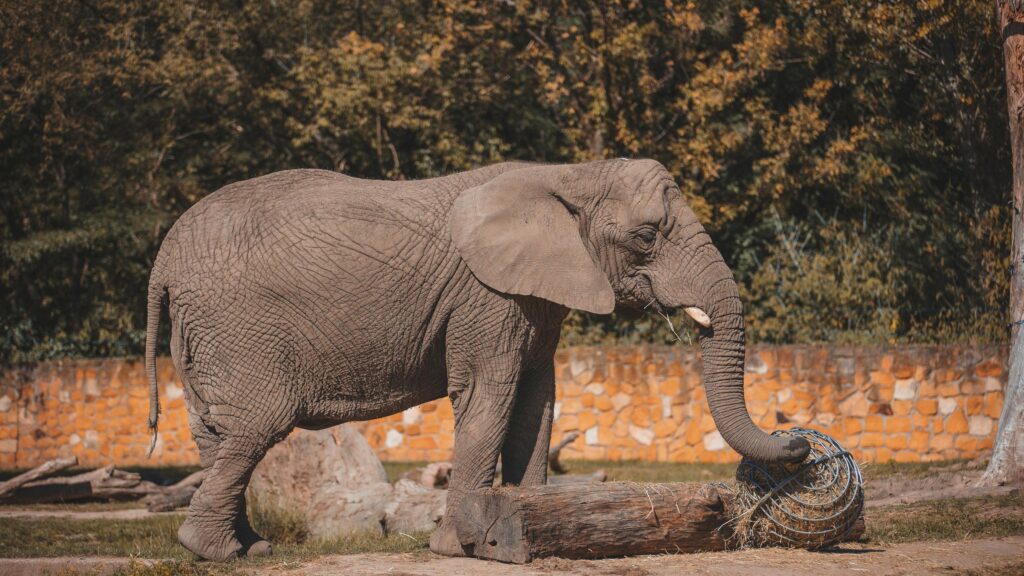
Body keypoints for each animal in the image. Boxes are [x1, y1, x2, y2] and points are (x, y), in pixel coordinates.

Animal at [144, 158, 810, 561]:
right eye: (647, 237)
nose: (800, 442)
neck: (570, 176)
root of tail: (163, 261)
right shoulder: (485, 296)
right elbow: (490, 394)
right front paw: (459, 548)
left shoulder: (534, 298)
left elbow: (537, 403)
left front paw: (533, 526)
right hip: (236, 325)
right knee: (258, 424)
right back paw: (215, 551)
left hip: (204, 331)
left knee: (218, 432)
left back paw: (247, 548)